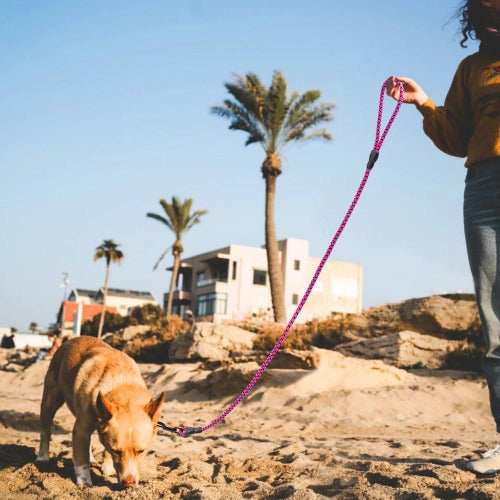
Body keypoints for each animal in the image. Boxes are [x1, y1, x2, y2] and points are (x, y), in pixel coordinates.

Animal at [37, 336, 166, 488]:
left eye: (141, 451)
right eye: (116, 451)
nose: (129, 483)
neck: (121, 382)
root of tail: (71, 340)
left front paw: (108, 468)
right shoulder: (81, 429)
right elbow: (81, 459)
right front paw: (84, 482)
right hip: (50, 402)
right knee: (45, 432)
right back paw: (42, 456)